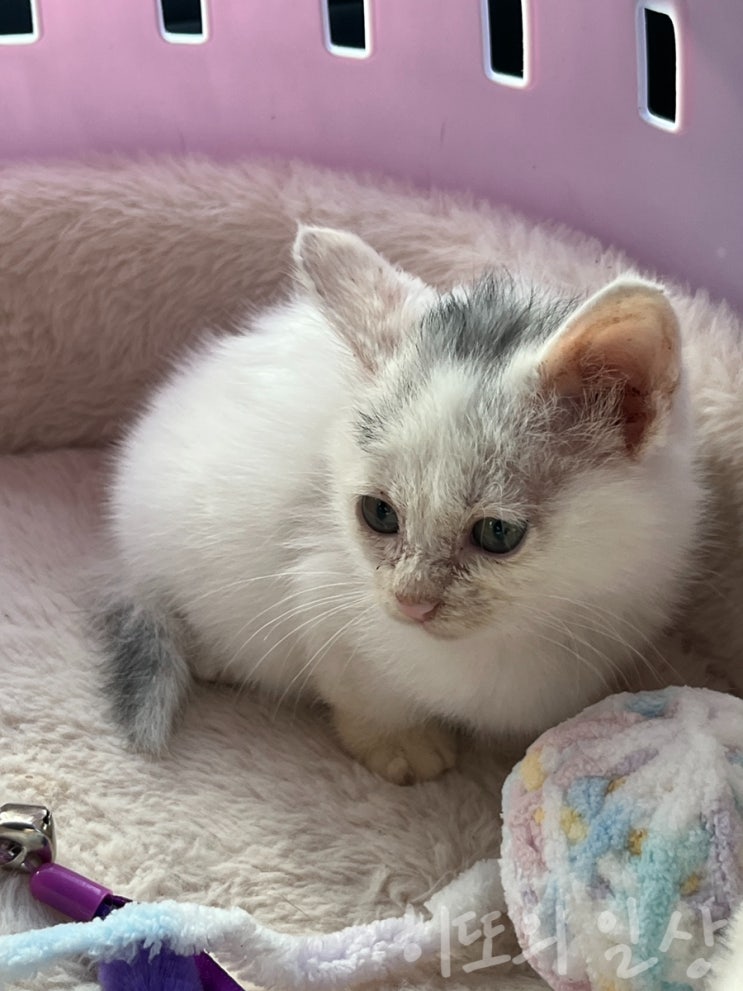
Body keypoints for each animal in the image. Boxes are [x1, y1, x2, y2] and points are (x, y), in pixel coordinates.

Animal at [100, 223, 726, 784]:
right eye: (379, 514)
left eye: (498, 533)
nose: (411, 602)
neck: (524, 629)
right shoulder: (321, 594)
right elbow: (363, 687)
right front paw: (399, 744)